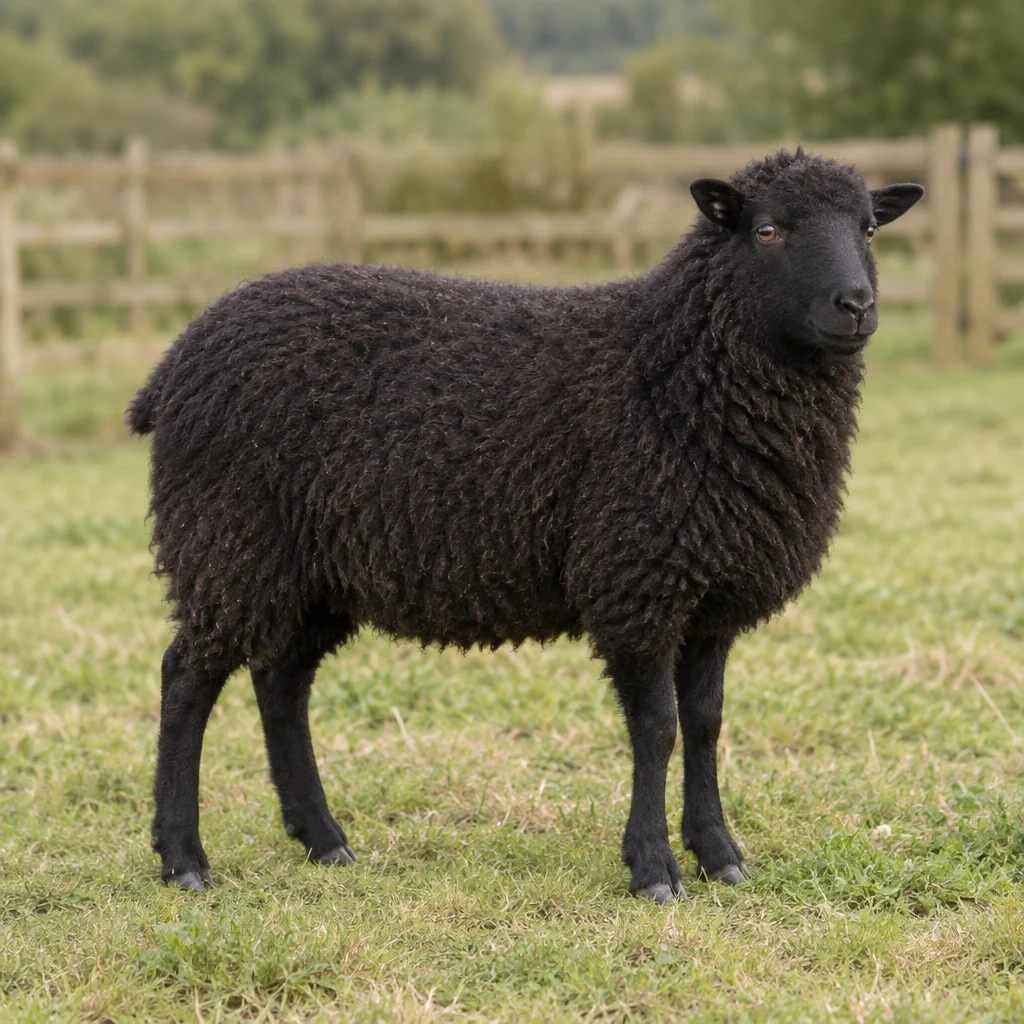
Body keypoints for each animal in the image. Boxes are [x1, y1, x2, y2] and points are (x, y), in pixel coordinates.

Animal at [128, 149, 923, 900]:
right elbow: (657, 729)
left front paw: (720, 854)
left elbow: (705, 724)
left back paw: (322, 839)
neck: (675, 368)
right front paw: (653, 868)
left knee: (281, 682)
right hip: (229, 539)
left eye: (869, 228)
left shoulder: (711, 594)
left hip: (312, 570)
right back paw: (184, 858)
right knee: (187, 679)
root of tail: (176, 360)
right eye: (767, 230)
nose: (856, 305)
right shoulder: (635, 579)